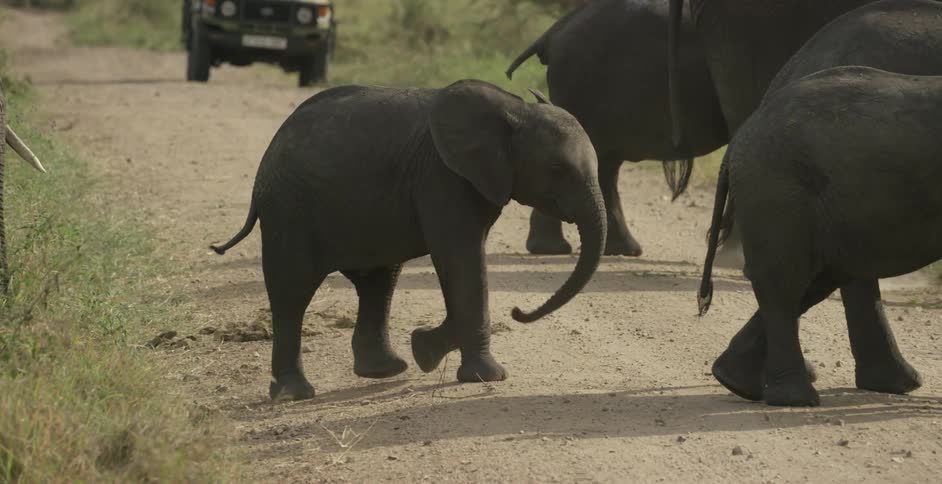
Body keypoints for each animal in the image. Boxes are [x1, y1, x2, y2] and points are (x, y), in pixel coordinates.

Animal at [209, 80, 607, 401]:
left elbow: (462, 266)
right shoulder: (442, 177)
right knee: (292, 292)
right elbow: (462, 258)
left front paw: (426, 349)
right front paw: (484, 377)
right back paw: (295, 394)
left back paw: (385, 370)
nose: (517, 311)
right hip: (287, 208)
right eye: (557, 170)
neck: (514, 109)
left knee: (378, 283)